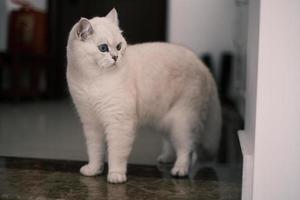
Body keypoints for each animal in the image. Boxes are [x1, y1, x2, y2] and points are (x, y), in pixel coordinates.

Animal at [67, 8, 221, 184]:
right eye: (103, 48)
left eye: (119, 46)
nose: (116, 57)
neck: (92, 80)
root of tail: (204, 66)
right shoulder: (91, 123)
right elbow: (95, 152)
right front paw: (93, 170)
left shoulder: (119, 123)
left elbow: (115, 154)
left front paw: (116, 176)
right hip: (165, 122)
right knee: (172, 143)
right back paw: (166, 159)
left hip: (182, 122)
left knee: (187, 150)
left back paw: (179, 170)